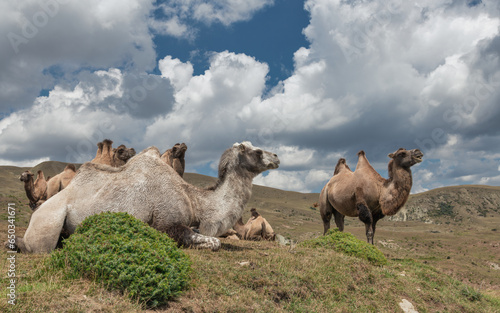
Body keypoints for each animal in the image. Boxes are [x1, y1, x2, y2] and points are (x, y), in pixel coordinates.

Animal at [11, 141, 280, 254]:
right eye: (257, 151)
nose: (276, 157)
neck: (195, 201)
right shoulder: (168, 223)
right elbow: (215, 242)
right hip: (47, 223)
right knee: (37, 248)